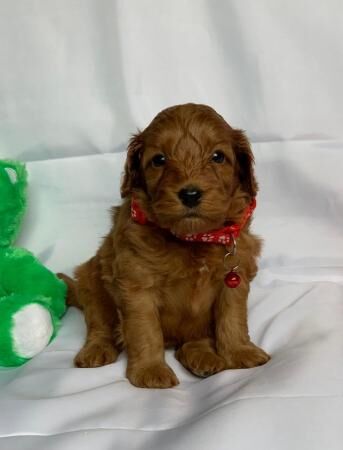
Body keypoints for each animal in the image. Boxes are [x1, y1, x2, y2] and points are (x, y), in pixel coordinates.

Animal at [61, 103, 272, 388]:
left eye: (218, 157)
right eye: (159, 160)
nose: (190, 194)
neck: (191, 239)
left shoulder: (235, 278)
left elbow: (233, 319)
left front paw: (240, 352)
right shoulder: (137, 285)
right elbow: (145, 331)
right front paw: (150, 371)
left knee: (194, 339)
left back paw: (203, 357)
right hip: (91, 279)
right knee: (99, 324)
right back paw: (96, 349)